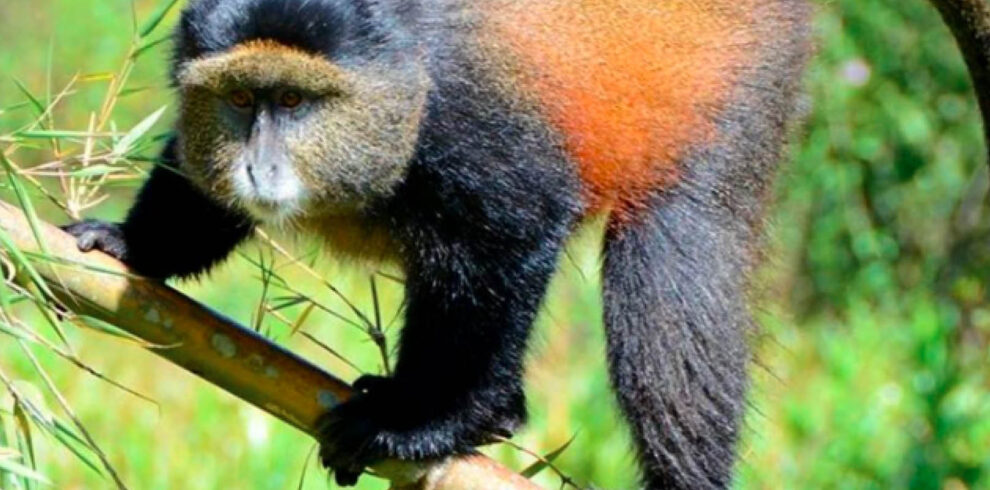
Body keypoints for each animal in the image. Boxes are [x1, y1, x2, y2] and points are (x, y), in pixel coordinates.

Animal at [63, 0, 814, 487]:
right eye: (243, 101)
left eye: (296, 103)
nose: (258, 167)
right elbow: (198, 184)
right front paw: (127, 244)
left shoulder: (470, 125)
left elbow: (511, 238)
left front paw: (428, 424)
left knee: (666, 267)